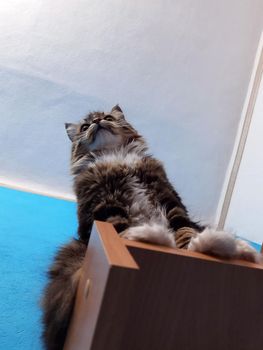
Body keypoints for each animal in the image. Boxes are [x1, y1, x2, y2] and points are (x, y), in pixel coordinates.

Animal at [42, 104, 260, 350]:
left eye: (107, 117)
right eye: (85, 126)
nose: (97, 122)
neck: (116, 156)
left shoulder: (169, 200)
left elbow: (184, 232)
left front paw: (189, 247)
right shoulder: (105, 208)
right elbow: (120, 230)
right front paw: (140, 236)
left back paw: (227, 247)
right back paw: (151, 236)